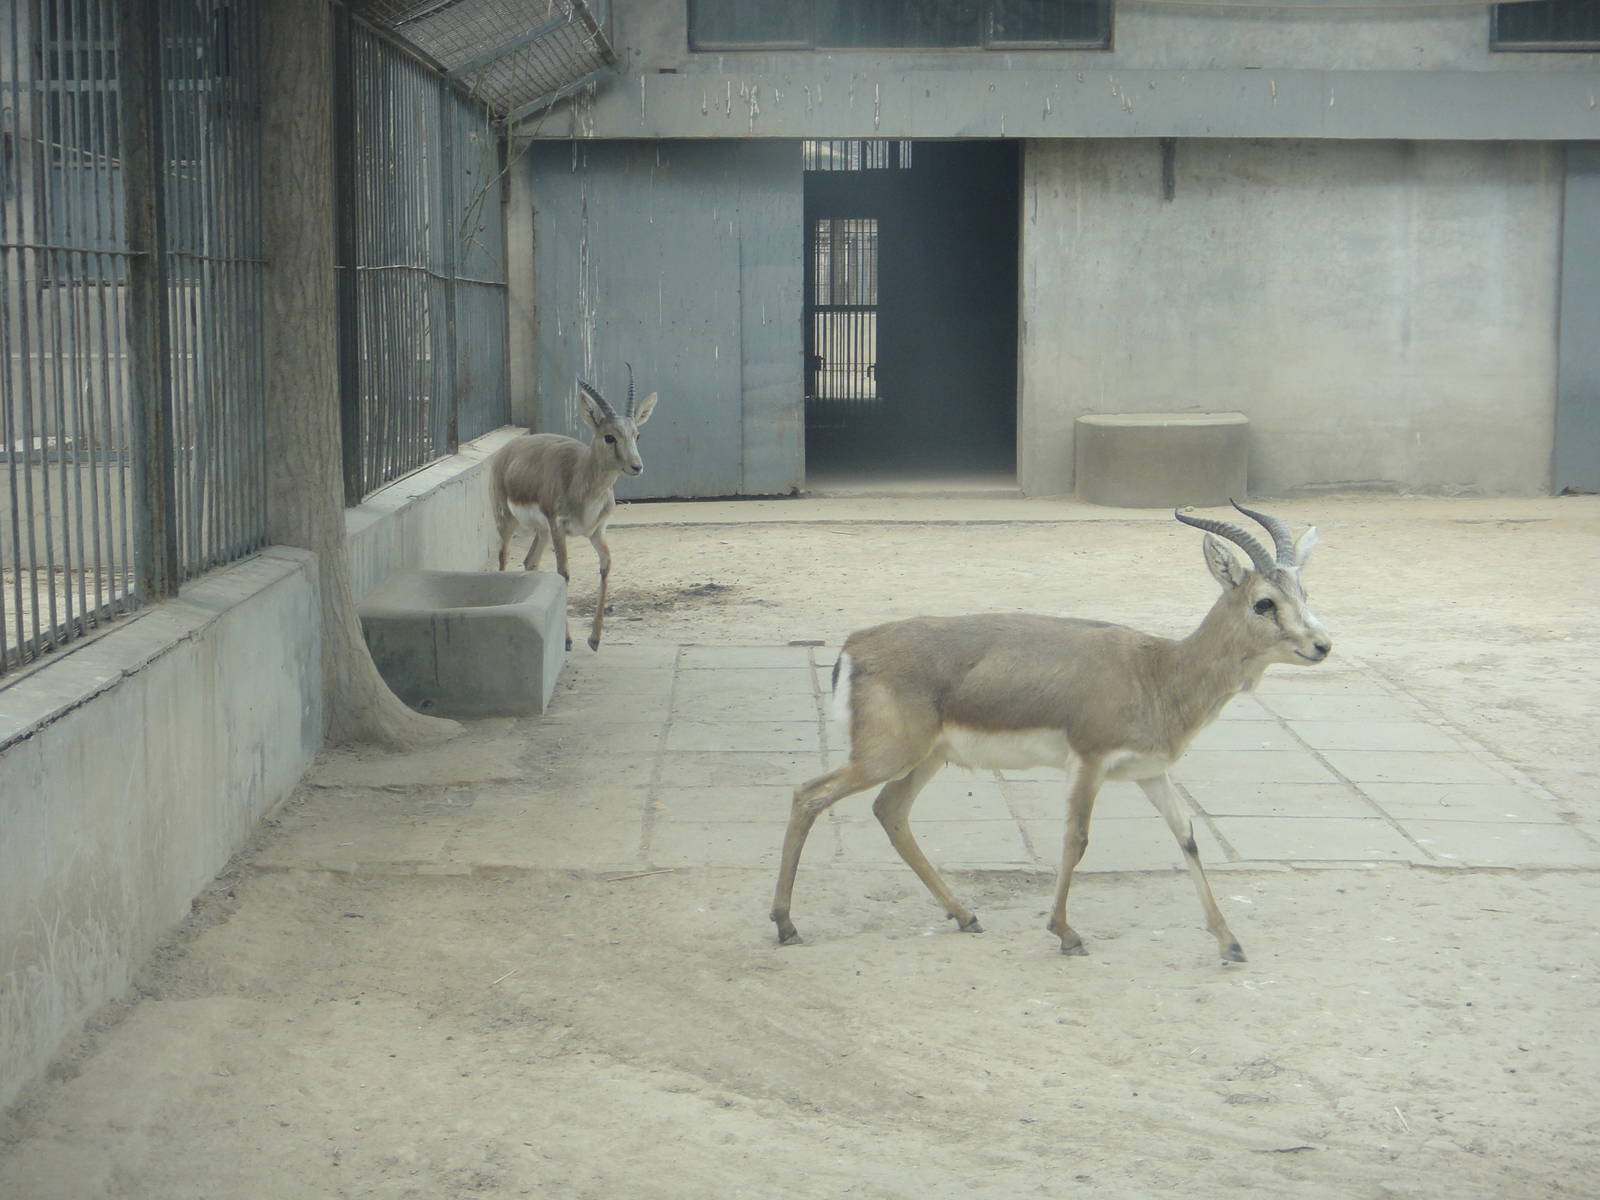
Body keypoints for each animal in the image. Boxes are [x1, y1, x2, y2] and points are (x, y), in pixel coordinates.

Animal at [491, 367, 658, 651]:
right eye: (609, 436)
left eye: (637, 434)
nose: (637, 466)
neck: (580, 481)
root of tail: (507, 449)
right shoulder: (559, 527)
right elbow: (564, 573)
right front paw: (568, 640)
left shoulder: (597, 531)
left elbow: (606, 565)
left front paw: (595, 638)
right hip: (507, 521)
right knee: (503, 557)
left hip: (542, 532)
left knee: (530, 561)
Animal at [771, 503, 1330, 963]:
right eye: (1264, 602)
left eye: (1303, 592)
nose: (1322, 645)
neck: (1158, 672)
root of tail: (855, 645)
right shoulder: (1088, 762)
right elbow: (1076, 838)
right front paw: (1066, 933)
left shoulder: (1150, 773)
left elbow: (1187, 838)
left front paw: (1229, 942)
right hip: (885, 756)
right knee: (807, 796)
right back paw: (785, 924)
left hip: (925, 758)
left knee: (889, 812)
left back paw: (965, 915)